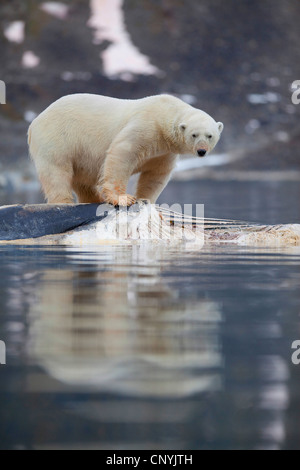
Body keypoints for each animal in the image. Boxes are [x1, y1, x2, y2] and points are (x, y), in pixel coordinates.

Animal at [28, 94, 223, 206]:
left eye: (210, 135)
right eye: (194, 135)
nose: (202, 151)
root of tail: (35, 122)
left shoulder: (164, 151)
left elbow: (156, 174)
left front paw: (145, 200)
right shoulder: (146, 126)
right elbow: (122, 153)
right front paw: (124, 199)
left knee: (81, 180)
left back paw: (94, 198)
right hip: (57, 137)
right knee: (57, 171)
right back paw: (64, 201)